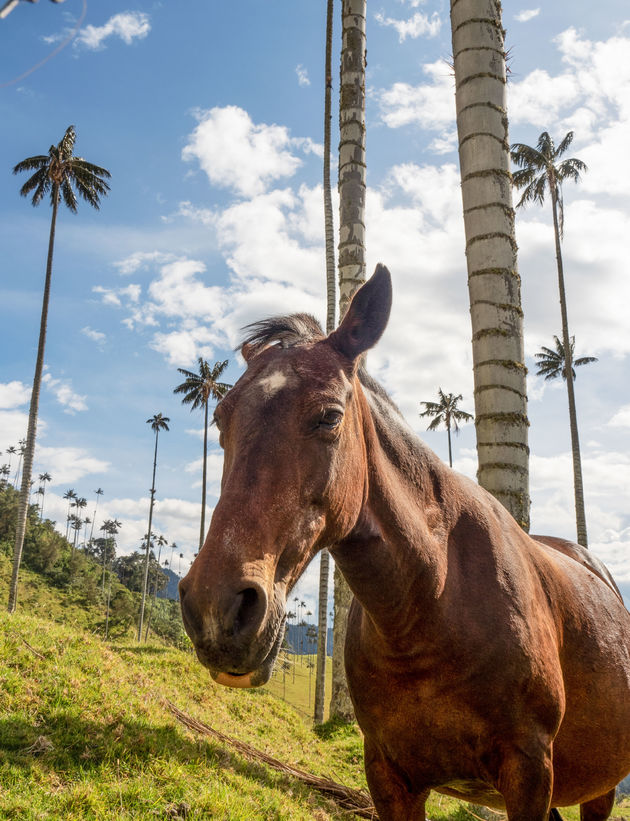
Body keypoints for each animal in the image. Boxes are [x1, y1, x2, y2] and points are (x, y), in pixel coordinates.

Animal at [179, 264, 630, 820]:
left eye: (329, 416)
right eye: (220, 420)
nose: (216, 609)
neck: (432, 601)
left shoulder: (529, 772)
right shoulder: (388, 773)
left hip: (598, 789)